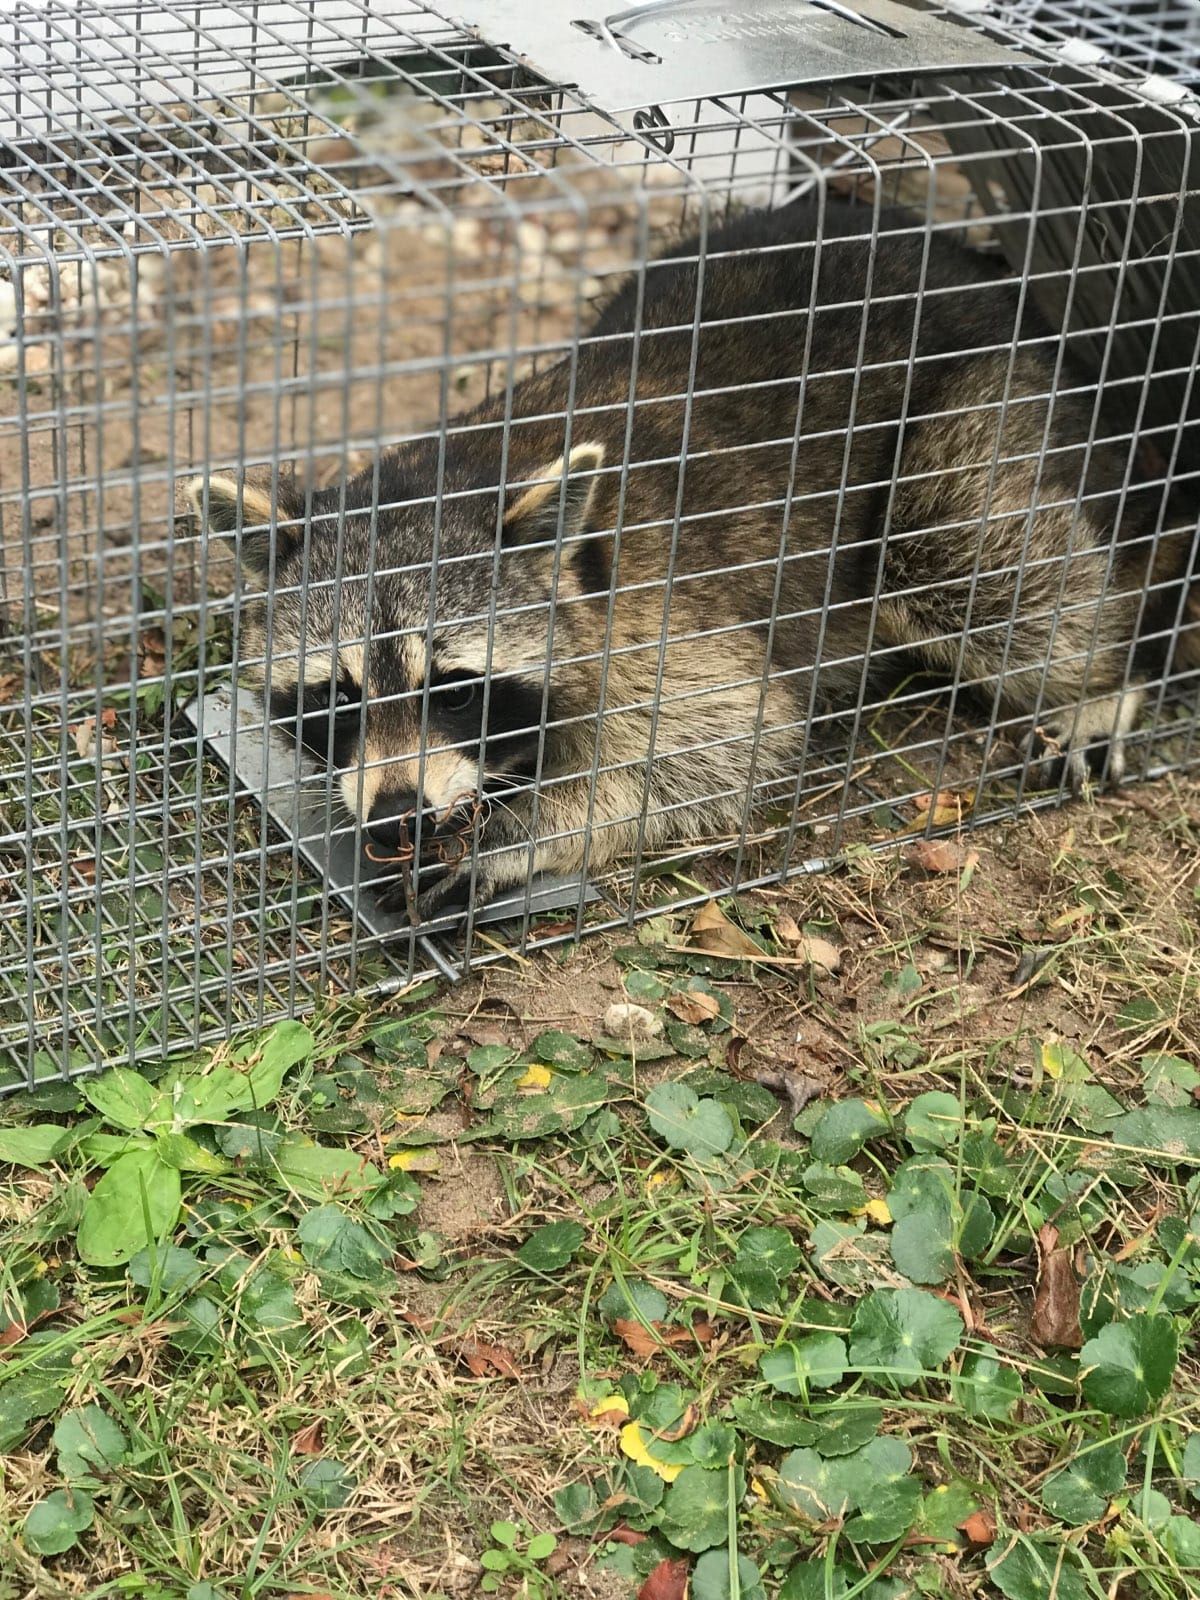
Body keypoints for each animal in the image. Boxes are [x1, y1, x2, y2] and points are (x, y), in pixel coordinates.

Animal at [188, 200, 1192, 920]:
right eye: (338, 697)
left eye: (457, 689)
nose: (399, 815)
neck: (462, 472)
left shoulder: (667, 622)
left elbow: (720, 745)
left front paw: (518, 832)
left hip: (987, 410)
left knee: (978, 563)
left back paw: (1117, 662)